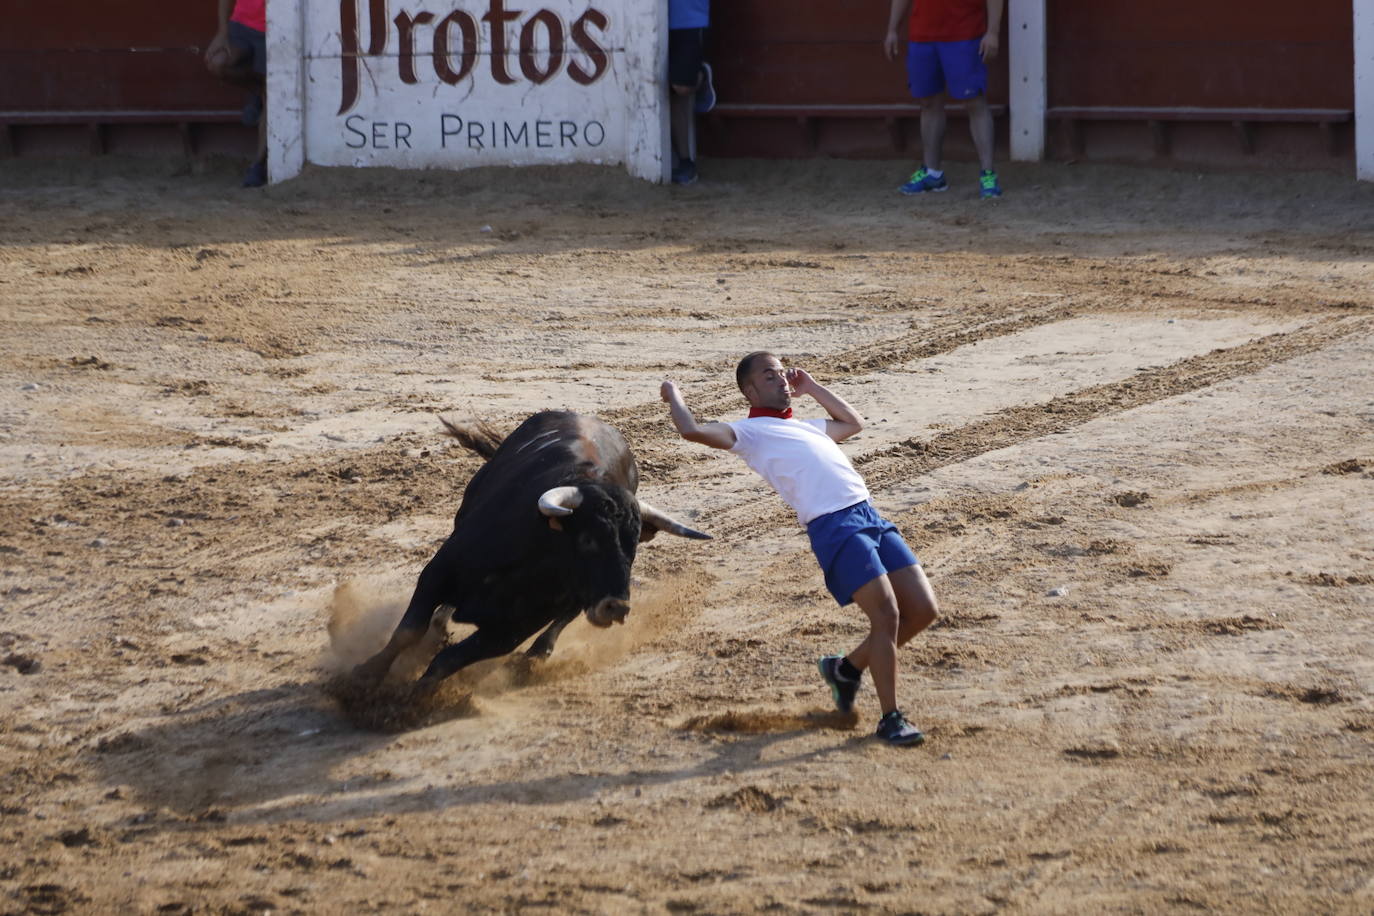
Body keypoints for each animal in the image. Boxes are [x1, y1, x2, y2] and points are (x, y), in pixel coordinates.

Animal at [354, 414, 708, 686]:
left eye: (633, 545)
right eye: (588, 539)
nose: (616, 607)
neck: (530, 561)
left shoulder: (510, 631)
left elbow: (447, 661)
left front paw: (408, 704)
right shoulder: (438, 572)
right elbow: (409, 631)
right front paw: (365, 676)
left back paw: (537, 655)